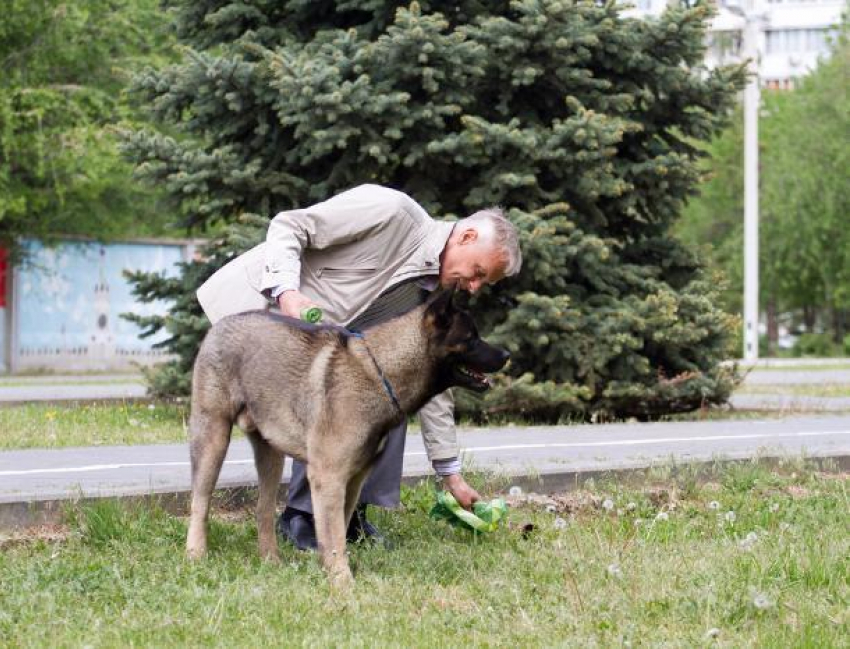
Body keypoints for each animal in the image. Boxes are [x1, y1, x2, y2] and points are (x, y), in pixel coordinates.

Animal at [186, 292, 506, 584]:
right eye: (471, 338)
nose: (506, 355)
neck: (381, 372)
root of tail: (220, 325)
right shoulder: (328, 478)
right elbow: (334, 537)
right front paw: (342, 583)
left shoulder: (352, 481)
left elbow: (338, 531)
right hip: (213, 439)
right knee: (200, 503)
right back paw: (196, 555)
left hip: (270, 456)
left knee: (262, 510)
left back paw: (271, 561)